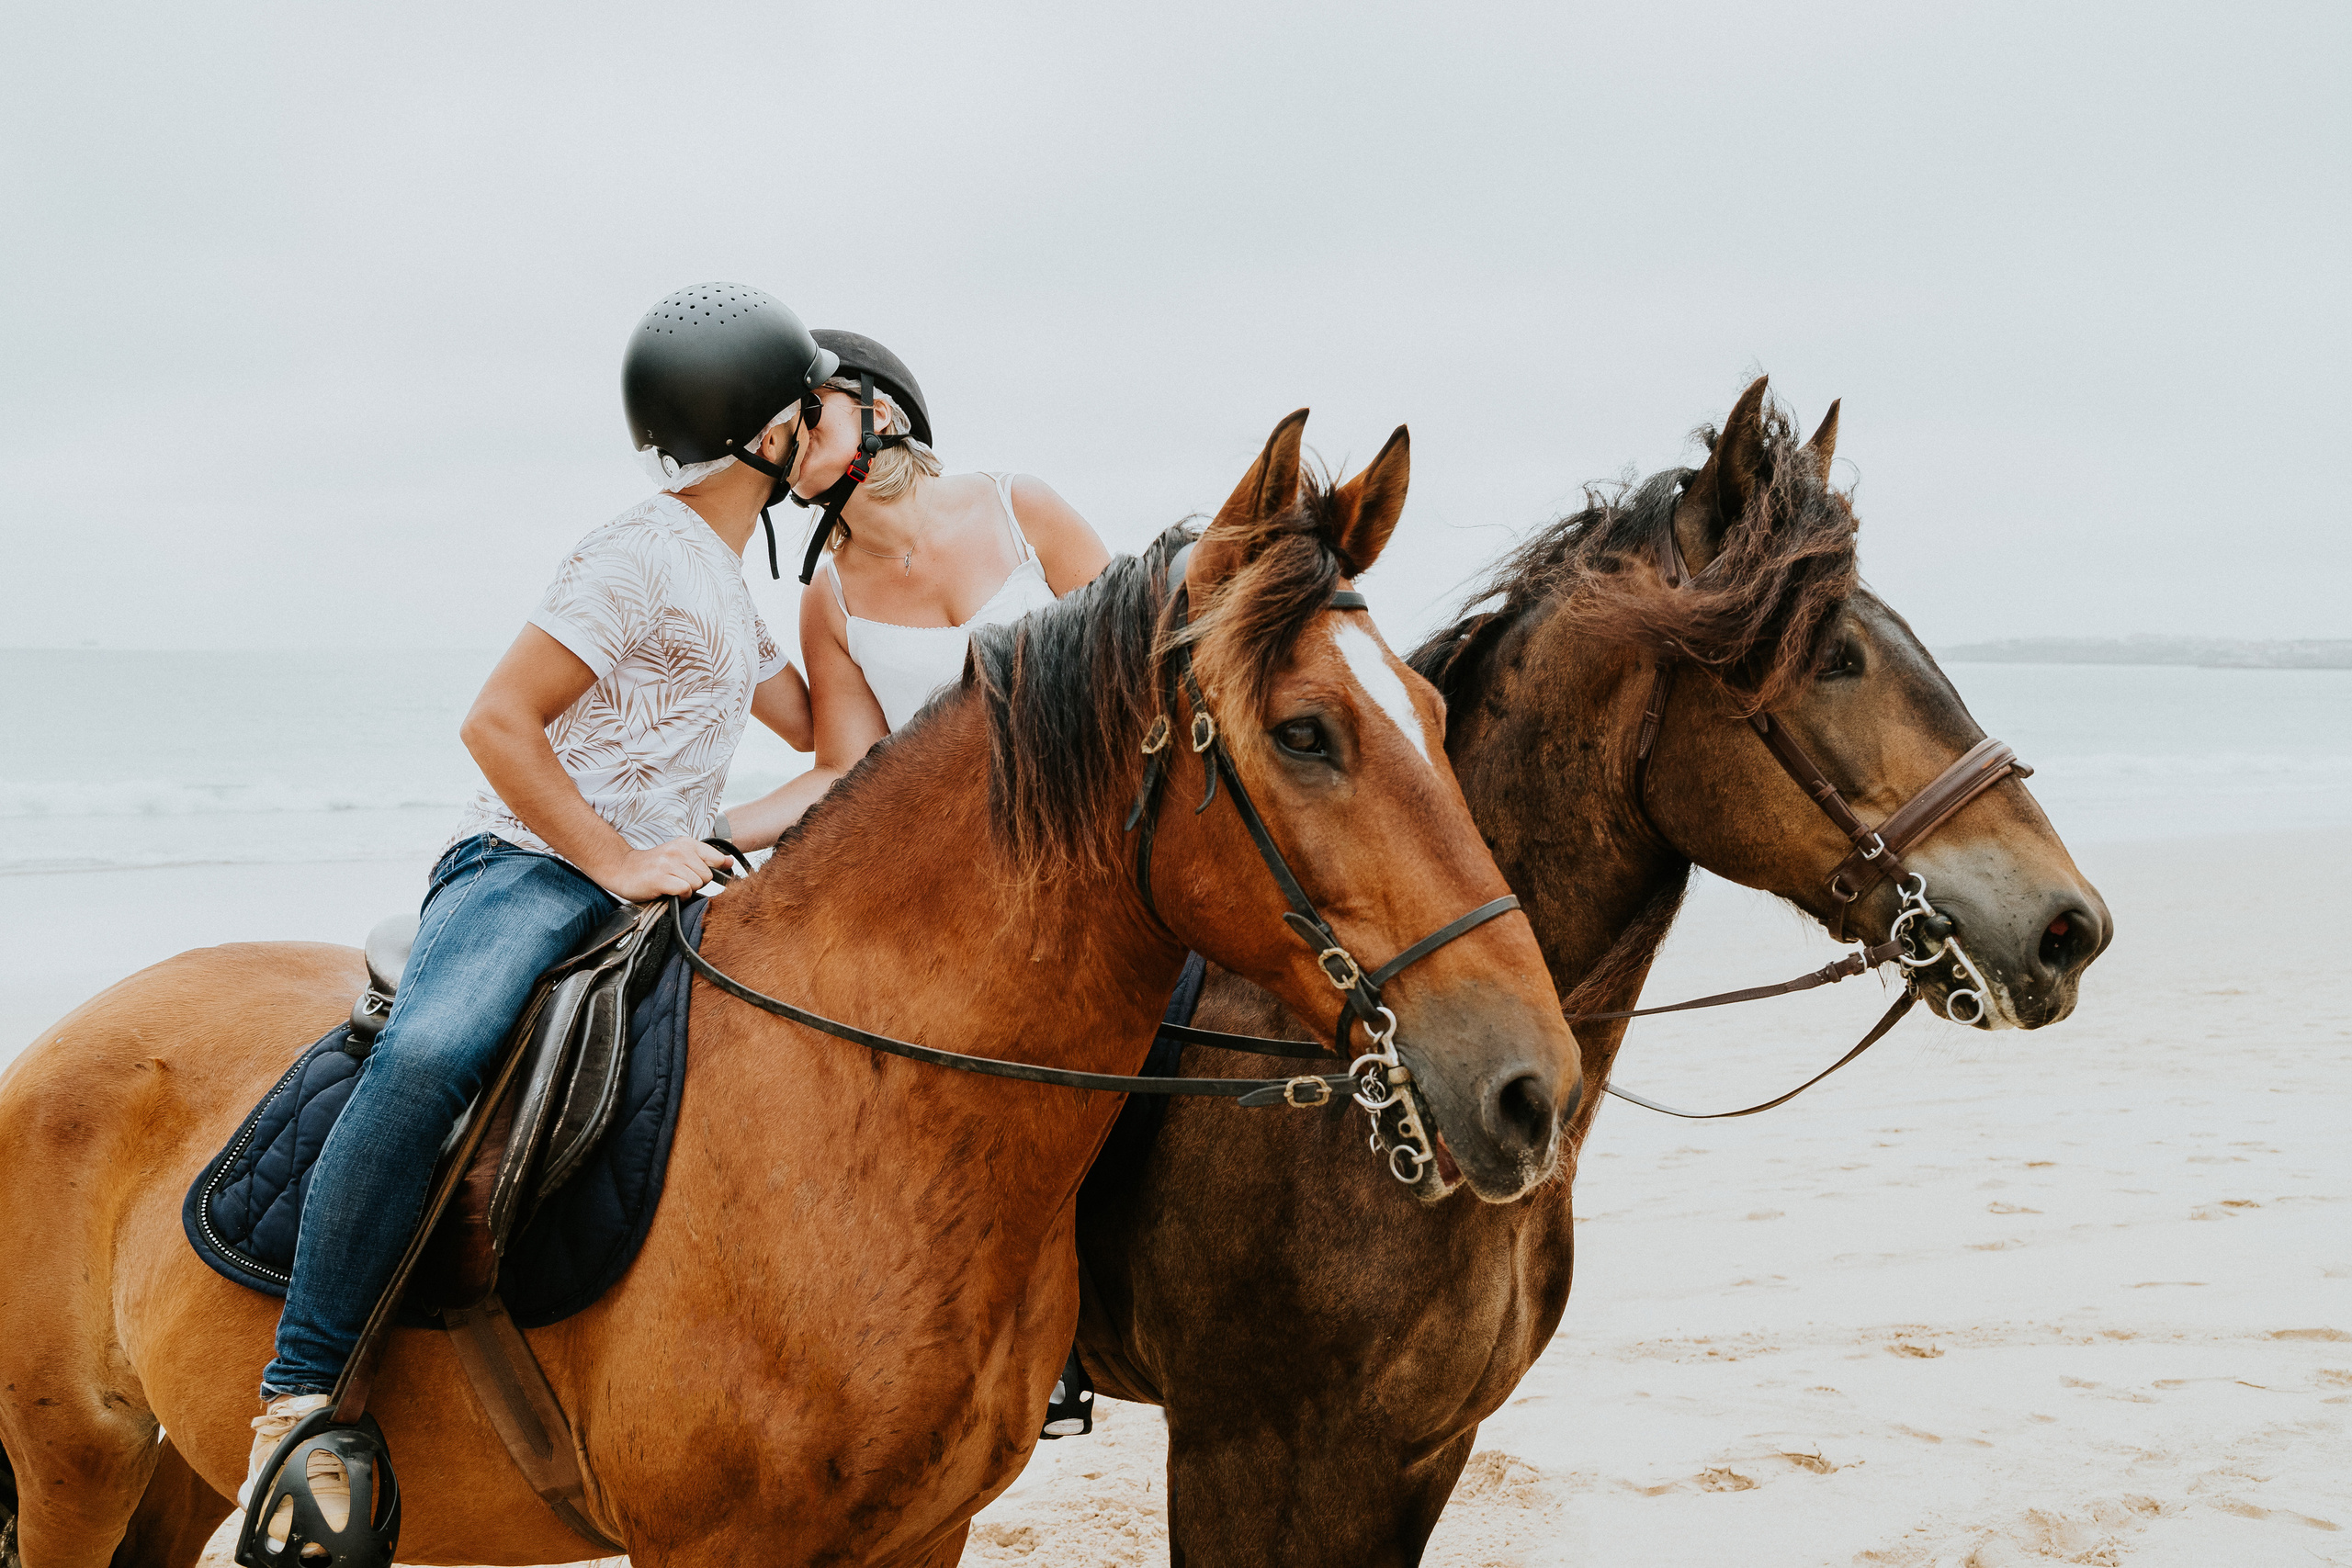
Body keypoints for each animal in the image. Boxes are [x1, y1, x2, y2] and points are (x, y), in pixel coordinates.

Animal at [0, 410, 1585, 1568]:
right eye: (1308, 731)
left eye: (1433, 706)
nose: (1532, 1087)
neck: (864, 1106)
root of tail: (61, 1040)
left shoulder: (925, 1531)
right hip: (77, 1459)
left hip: (170, 1467)